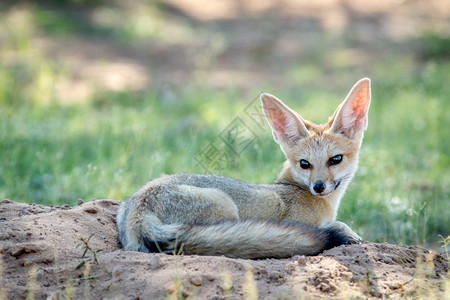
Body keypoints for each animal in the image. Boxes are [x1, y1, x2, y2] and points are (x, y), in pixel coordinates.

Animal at [117, 78, 372, 258]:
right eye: (304, 164)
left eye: (335, 159)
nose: (318, 187)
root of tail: (139, 209)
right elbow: (341, 226)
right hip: (225, 207)